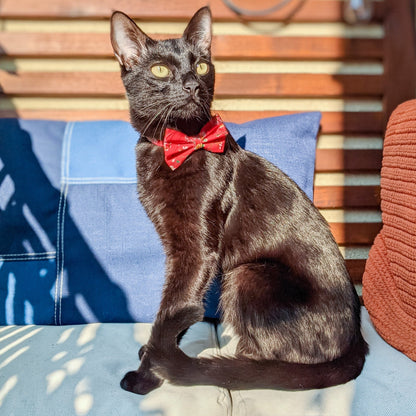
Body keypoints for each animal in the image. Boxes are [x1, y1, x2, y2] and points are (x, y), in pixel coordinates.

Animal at [110, 8, 368, 394]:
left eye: (202, 66)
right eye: (160, 70)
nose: (192, 84)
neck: (177, 144)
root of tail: (357, 342)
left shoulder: (197, 250)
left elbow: (175, 305)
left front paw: (146, 374)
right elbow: (180, 301)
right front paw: (158, 352)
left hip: (248, 273)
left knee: (273, 360)